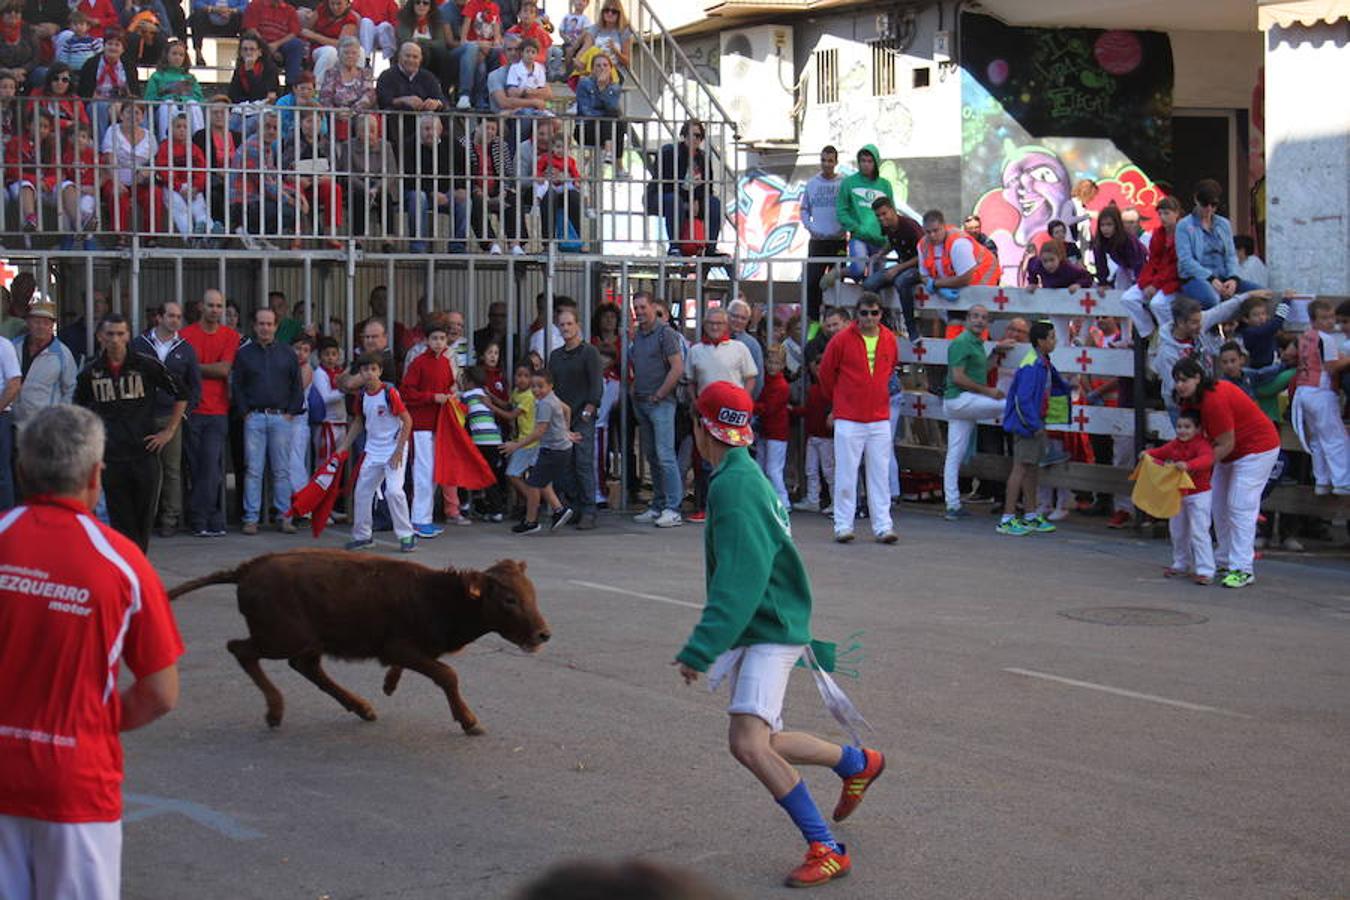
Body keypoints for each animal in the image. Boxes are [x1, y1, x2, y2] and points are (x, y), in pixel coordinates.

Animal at [168, 550, 548, 734]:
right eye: (510, 599)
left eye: (532, 593)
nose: (543, 634)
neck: (437, 595)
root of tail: (246, 570)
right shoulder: (400, 647)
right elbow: (446, 674)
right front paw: (469, 721)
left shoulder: (408, 651)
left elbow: (416, 669)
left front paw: (389, 685)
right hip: (282, 638)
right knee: (241, 649)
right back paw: (275, 711)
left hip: (305, 642)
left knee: (306, 666)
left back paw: (362, 707)